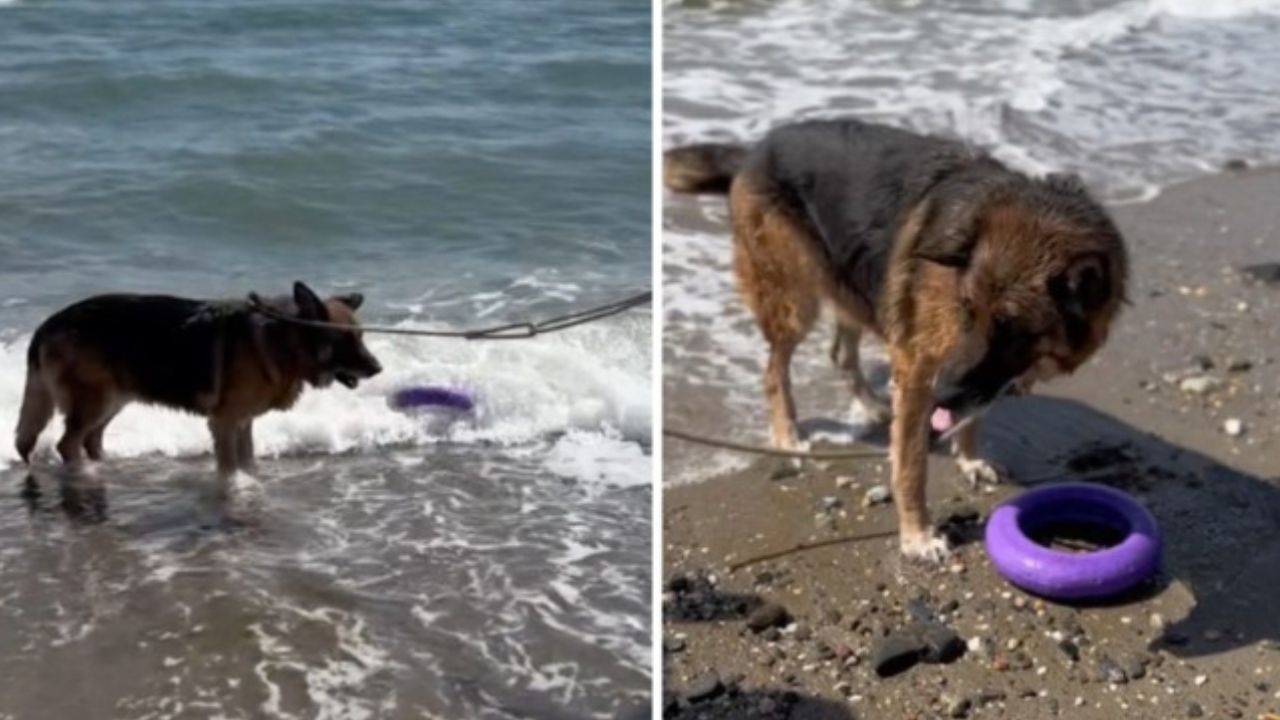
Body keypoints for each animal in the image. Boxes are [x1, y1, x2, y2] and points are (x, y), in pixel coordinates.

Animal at [665, 120, 1126, 561]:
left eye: (1009, 325)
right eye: (967, 307)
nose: (941, 396)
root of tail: (758, 147)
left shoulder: (969, 377)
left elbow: (970, 416)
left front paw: (969, 459)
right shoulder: (921, 370)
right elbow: (911, 465)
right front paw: (918, 537)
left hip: (854, 284)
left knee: (839, 353)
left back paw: (871, 406)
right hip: (795, 299)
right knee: (773, 371)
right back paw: (788, 436)